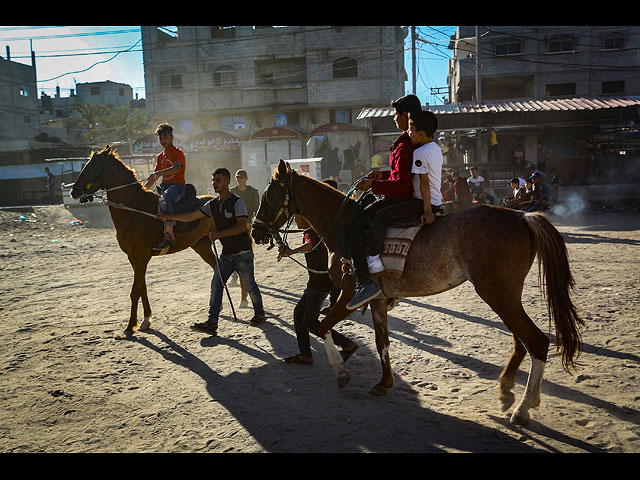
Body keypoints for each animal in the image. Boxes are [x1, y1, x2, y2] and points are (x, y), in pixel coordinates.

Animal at [69, 146, 235, 338]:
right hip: (201, 245)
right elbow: (142, 288)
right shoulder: (133, 258)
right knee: (217, 268)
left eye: (94, 166)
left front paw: (130, 326)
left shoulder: (141, 257)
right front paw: (146, 319)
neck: (135, 210)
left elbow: (135, 291)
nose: (73, 192)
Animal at [251, 160, 584, 424]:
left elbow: (322, 327)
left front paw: (342, 372)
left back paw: (524, 407)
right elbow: (382, 342)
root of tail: (521, 217)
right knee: (520, 341)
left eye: (271, 194)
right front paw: (384, 383)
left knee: (535, 341)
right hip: (504, 295)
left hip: (498, 294)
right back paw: (506, 392)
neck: (343, 227)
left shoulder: (347, 296)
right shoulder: (377, 300)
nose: (255, 231)